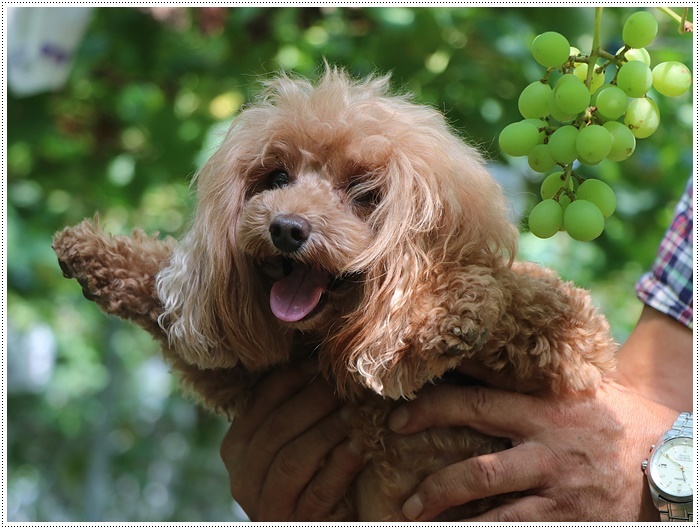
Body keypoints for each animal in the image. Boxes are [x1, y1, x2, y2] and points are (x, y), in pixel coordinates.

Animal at [52, 67, 616, 520]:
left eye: (364, 194)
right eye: (277, 176)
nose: (286, 228)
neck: (328, 338)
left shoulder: (575, 353)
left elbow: (523, 297)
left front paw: (440, 313)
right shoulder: (245, 373)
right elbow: (182, 313)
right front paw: (92, 251)